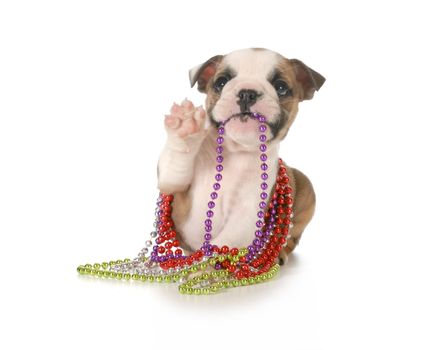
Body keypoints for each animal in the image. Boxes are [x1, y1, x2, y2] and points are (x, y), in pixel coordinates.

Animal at [157, 47, 324, 264]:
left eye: (281, 87)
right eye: (221, 82)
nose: (247, 93)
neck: (236, 151)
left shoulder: (246, 218)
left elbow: (219, 247)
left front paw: (202, 269)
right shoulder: (173, 185)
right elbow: (173, 169)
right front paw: (184, 126)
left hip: (306, 188)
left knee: (291, 238)